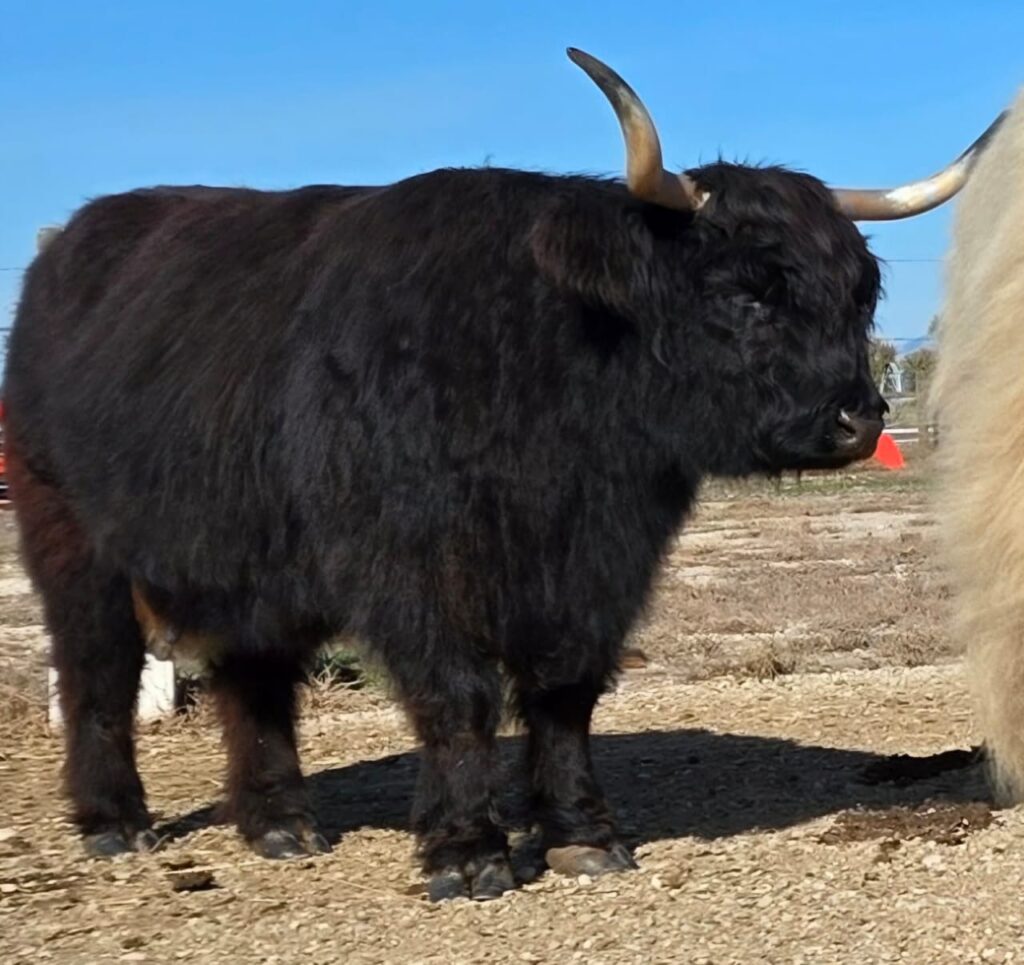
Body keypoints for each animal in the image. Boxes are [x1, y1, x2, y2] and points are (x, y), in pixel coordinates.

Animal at [2, 49, 1001, 901]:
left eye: (859, 291)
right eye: (745, 289)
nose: (857, 419)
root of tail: (67, 249)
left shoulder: (600, 563)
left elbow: (565, 692)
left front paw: (580, 833)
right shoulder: (412, 566)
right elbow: (459, 694)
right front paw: (467, 849)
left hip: (249, 560)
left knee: (256, 676)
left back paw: (281, 822)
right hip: (73, 542)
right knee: (96, 665)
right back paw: (113, 821)